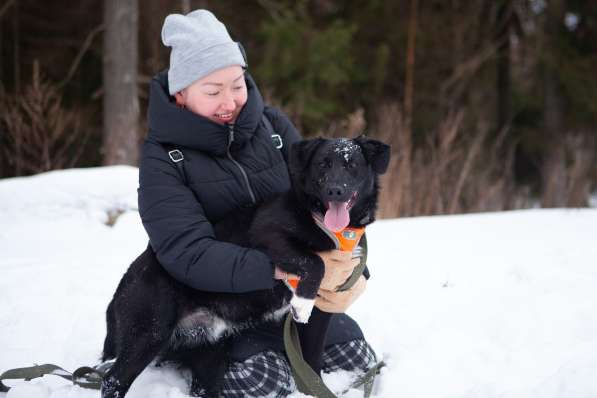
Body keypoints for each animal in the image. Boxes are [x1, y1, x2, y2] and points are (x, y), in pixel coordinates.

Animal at [101, 135, 392, 396]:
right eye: (323, 164)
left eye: (352, 165)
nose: (335, 190)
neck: (325, 223)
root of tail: (123, 285)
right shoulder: (269, 236)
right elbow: (315, 262)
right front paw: (301, 301)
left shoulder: (322, 314)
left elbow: (311, 365)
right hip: (148, 334)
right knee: (112, 381)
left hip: (209, 350)